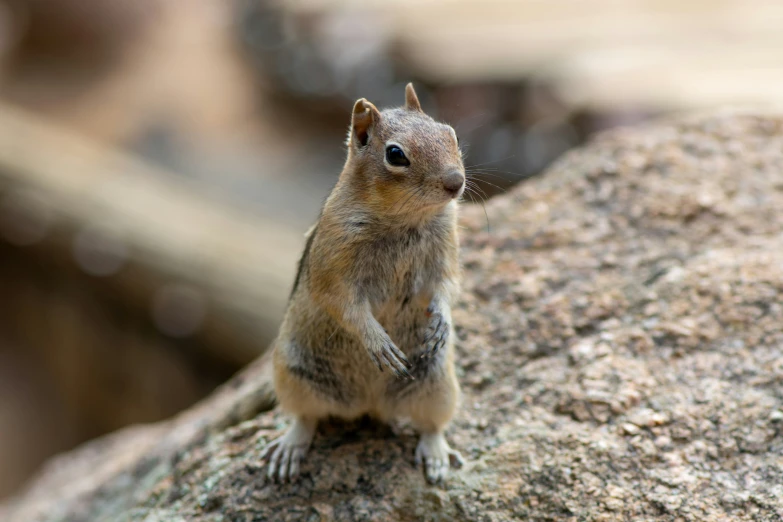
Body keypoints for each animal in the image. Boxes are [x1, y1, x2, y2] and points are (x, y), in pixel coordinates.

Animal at [264, 82, 466, 484]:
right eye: (395, 155)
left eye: (450, 132)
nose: (456, 183)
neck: (405, 219)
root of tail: (370, 405)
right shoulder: (334, 262)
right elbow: (343, 303)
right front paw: (378, 341)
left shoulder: (445, 249)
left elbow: (447, 285)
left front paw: (443, 321)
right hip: (294, 375)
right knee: (305, 417)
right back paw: (290, 447)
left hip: (438, 383)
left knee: (432, 424)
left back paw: (436, 453)